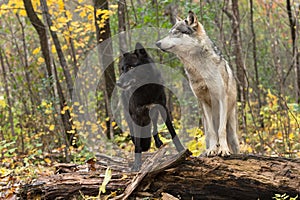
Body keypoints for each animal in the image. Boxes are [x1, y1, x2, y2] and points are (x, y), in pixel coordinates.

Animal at [116, 42, 184, 170]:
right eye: (122, 69)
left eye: (131, 67)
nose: (117, 83)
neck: (146, 89)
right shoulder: (136, 115)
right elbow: (137, 143)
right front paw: (137, 164)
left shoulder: (163, 108)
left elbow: (172, 131)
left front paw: (181, 149)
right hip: (130, 117)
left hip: (154, 113)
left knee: (154, 127)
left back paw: (158, 142)